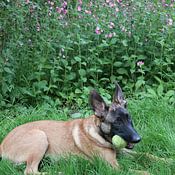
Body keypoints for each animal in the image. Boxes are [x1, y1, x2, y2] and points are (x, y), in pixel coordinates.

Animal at [0, 84, 143, 174]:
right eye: (117, 123)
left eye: (129, 118)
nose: (138, 139)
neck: (98, 133)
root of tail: (2, 145)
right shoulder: (114, 167)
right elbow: (139, 171)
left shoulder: (123, 152)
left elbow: (144, 154)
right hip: (40, 137)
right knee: (30, 171)